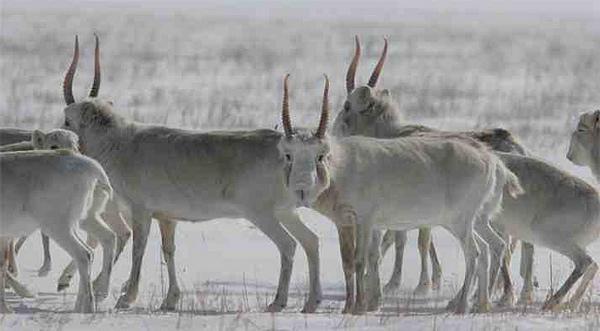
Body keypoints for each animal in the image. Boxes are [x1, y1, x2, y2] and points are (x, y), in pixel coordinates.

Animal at [278, 74, 524, 316]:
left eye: (320, 155)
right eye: (288, 154)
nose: (302, 188)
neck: (343, 166)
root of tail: (493, 161)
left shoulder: (365, 221)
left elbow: (360, 260)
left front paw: (359, 307)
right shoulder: (346, 222)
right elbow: (352, 260)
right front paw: (355, 305)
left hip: (460, 222)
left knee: (475, 253)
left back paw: (462, 305)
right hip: (476, 221)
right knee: (491, 246)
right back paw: (480, 304)